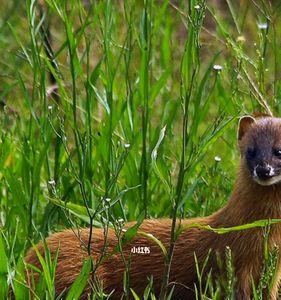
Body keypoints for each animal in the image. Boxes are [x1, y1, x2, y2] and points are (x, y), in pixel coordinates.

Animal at [24, 116, 281, 298]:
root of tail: (30, 257)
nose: (263, 169)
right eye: (250, 151)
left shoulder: (273, 272)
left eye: (278, 150)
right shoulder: (236, 266)